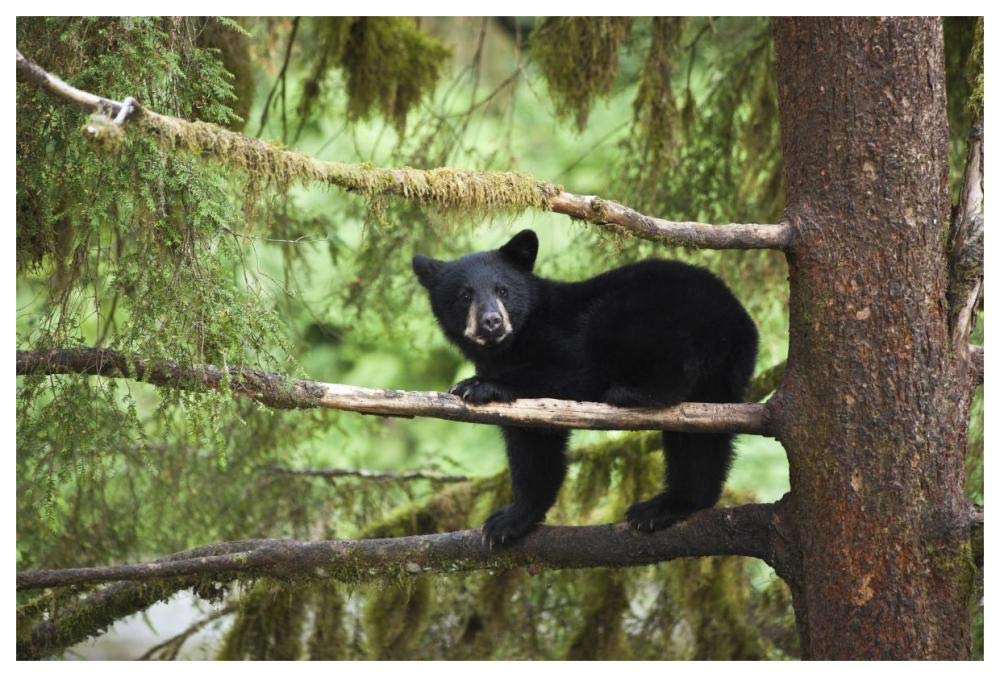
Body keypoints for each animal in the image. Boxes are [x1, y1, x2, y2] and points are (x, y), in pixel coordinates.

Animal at [412, 229, 758, 548]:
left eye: (503, 290)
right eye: (464, 295)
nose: (492, 322)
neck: (511, 345)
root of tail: (735, 318)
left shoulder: (563, 340)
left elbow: (573, 372)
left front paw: (478, 385)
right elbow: (533, 446)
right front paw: (509, 521)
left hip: (650, 315)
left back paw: (634, 394)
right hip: (720, 381)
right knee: (699, 442)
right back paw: (665, 507)